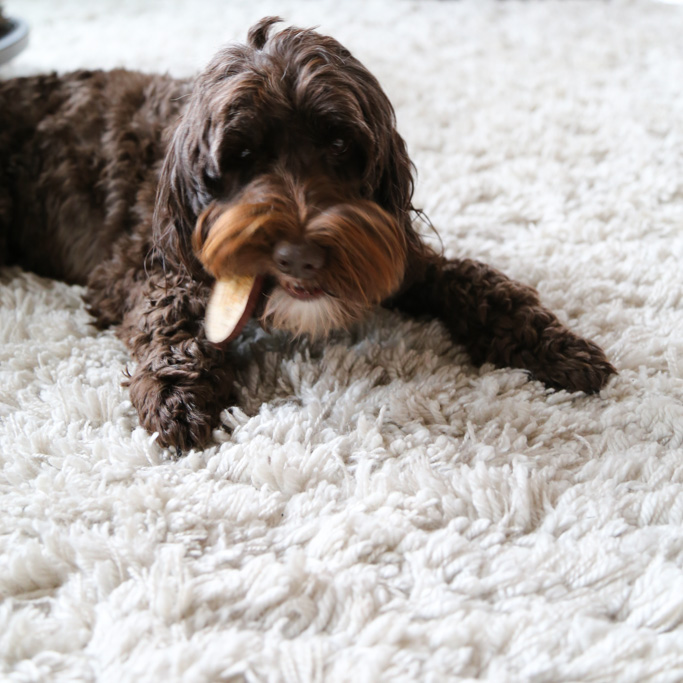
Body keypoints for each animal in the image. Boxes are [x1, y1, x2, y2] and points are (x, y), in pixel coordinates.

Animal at [0, 17, 616, 454]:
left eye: (341, 144)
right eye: (241, 155)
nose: (299, 257)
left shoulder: (395, 253)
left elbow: (480, 283)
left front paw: (558, 345)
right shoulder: (136, 268)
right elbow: (167, 315)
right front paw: (178, 394)